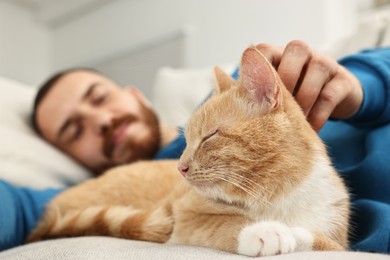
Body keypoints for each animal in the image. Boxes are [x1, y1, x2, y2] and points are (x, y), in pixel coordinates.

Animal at [29, 46, 348, 256]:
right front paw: (263, 230)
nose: (180, 168)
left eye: (208, 137)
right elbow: (223, 224)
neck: (275, 196)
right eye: (186, 141)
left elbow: (319, 240)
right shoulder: (184, 218)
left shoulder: (337, 238)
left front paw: (291, 231)